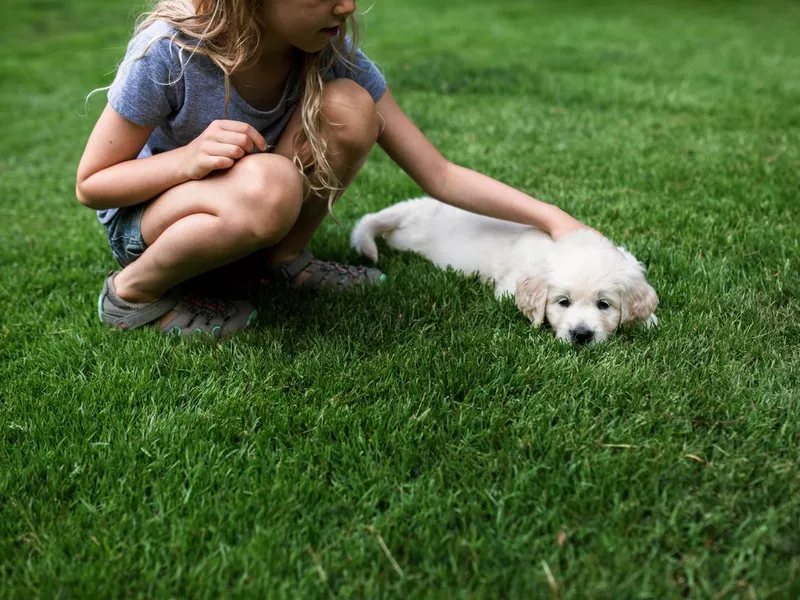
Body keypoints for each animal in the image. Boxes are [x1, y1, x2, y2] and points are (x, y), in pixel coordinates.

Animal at [350, 197, 656, 344]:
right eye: (563, 302)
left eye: (604, 304)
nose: (581, 336)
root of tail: (417, 209)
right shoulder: (509, 290)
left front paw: (646, 321)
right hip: (407, 238)